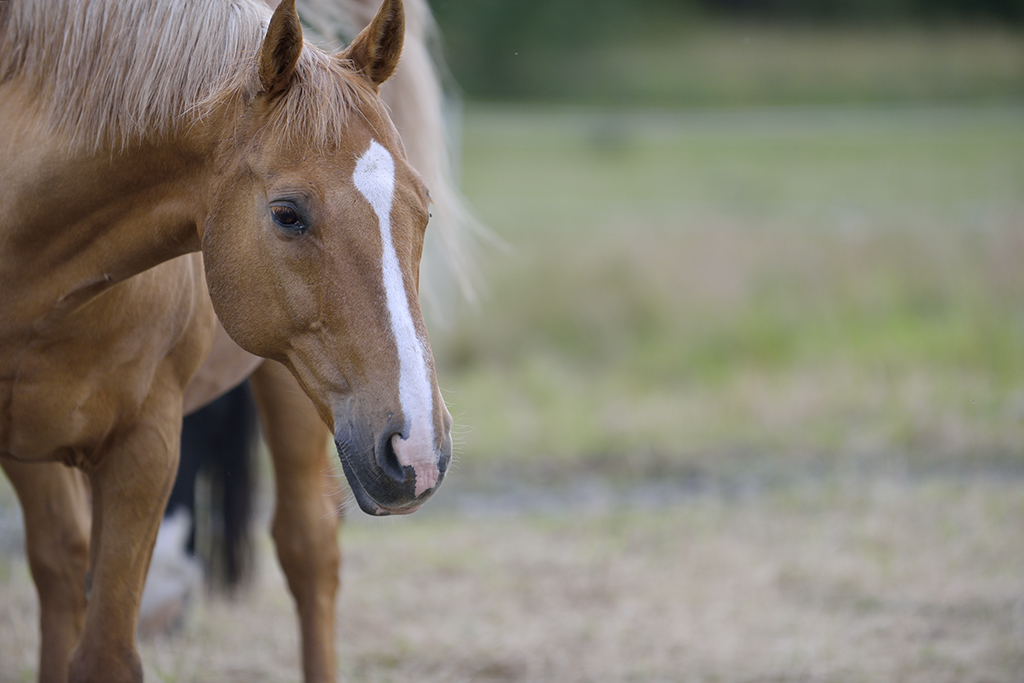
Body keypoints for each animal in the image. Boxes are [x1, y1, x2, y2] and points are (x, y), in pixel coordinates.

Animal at [0, 0, 462, 680]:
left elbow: (105, 654)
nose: (419, 450)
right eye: (287, 214)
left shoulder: (144, 449)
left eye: (422, 209)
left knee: (309, 550)